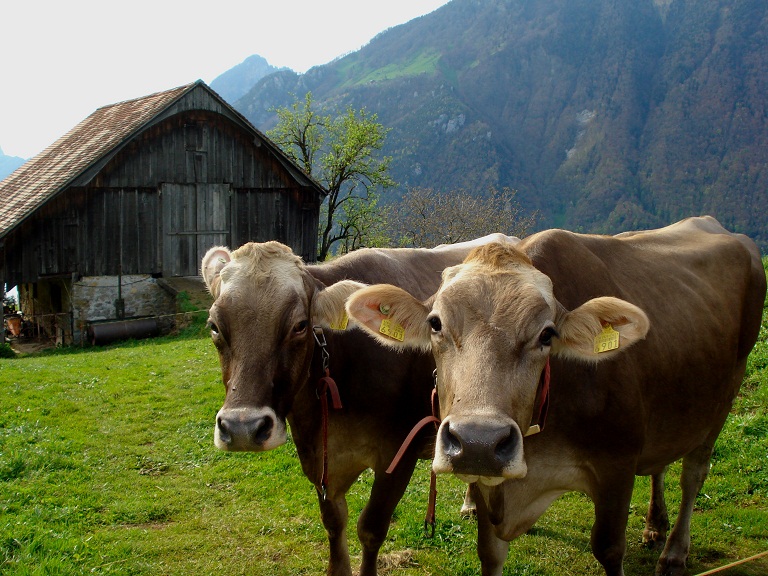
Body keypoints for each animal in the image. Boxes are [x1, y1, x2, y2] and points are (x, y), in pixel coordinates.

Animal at [200, 234, 517, 576]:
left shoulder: (399, 454)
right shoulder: (319, 458)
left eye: (300, 325)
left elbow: (371, 528)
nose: (242, 428)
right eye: (214, 326)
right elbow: (334, 522)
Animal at [344, 217, 766, 576]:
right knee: (660, 465)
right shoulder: (491, 483)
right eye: (435, 324)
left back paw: (675, 551)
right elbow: (490, 553)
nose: (478, 442)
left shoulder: (618, 463)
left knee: (693, 473)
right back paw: (654, 525)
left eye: (547, 334)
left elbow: (609, 548)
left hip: (727, 389)